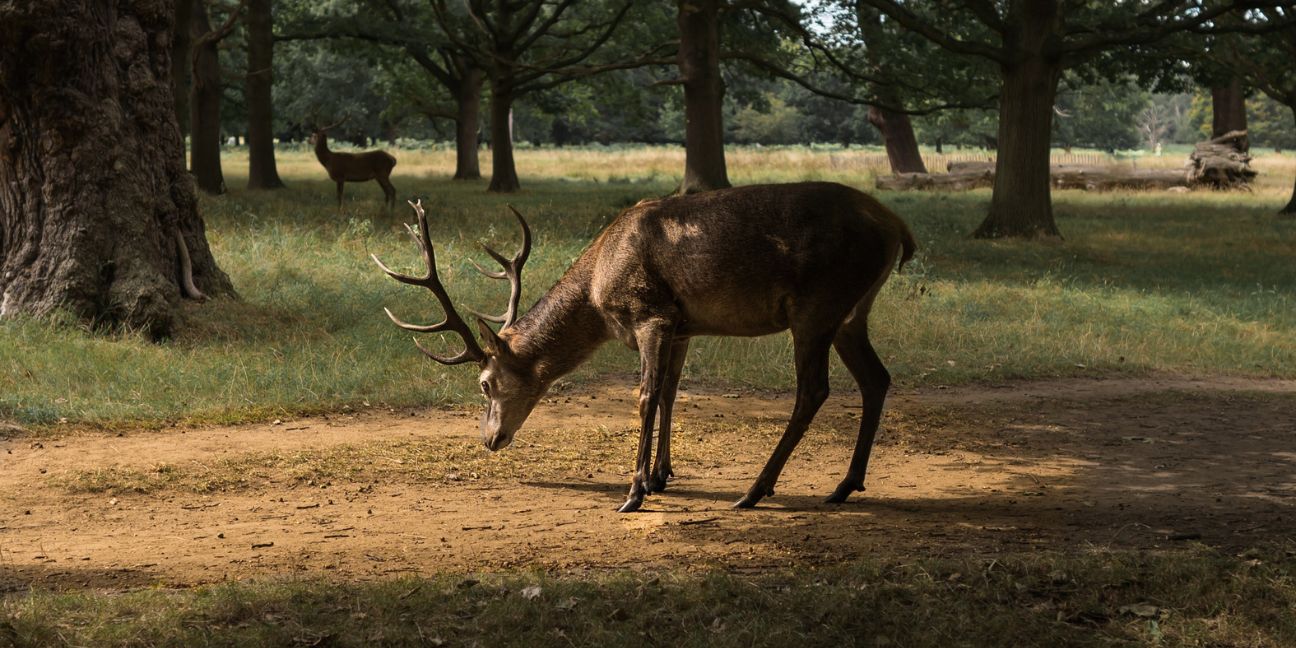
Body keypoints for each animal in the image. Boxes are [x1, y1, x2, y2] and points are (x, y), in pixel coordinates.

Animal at [372, 182, 916, 513]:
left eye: (485, 383)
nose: (489, 439)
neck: (598, 291)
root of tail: (898, 227)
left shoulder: (650, 314)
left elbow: (646, 396)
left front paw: (634, 491)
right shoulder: (682, 326)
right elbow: (672, 392)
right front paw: (660, 476)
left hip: (817, 305)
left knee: (814, 389)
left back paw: (756, 490)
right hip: (852, 313)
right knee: (877, 378)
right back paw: (844, 485)